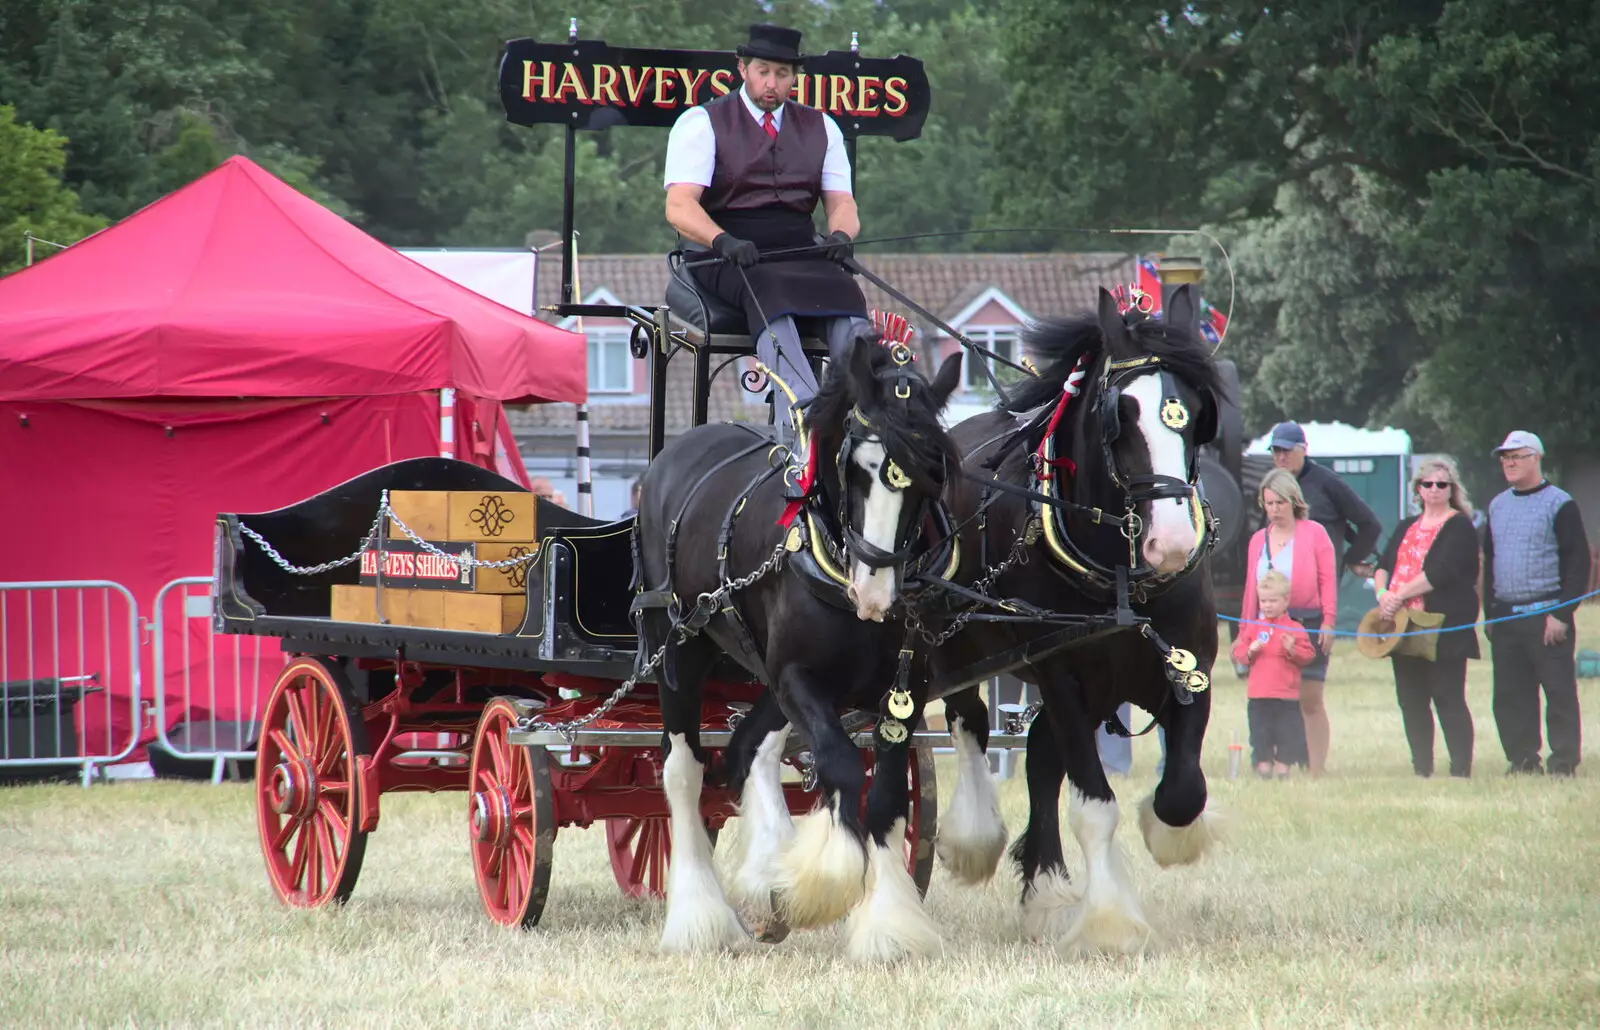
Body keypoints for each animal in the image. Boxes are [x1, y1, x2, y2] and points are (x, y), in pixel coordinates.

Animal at [633, 335, 960, 959]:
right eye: (855, 467)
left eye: (932, 471)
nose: (873, 592)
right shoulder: (797, 677)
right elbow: (840, 765)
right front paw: (823, 881)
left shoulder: (903, 694)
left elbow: (886, 797)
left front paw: (888, 926)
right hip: (678, 647)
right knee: (683, 772)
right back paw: (700, 918)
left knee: (745, 748)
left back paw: (765, 873)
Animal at [934, 283, 1222, 959]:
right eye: (1123, 415)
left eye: (1198, 412)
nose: (1173, 543)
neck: (1121, 577)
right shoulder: (1060, 675)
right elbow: (1095, 805)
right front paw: (1111, 922)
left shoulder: (1189, 666)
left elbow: (1182, 792)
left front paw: (1170, 838)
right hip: (957, 646)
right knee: (969, 722)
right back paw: (974, 840)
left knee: (1040, 753)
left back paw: (1043, 891)